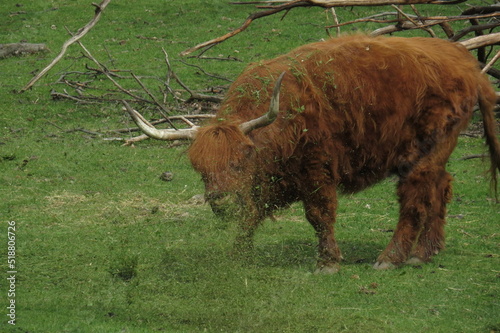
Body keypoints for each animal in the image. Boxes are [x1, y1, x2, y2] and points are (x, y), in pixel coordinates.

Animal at [125, 34, 500, 272]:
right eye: (199, 168)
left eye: (240, 159)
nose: (222, 202)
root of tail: (466, 65)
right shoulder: (270, 183)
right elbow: (251, 216)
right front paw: (237, 256)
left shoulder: (317, 170)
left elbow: (319, 215)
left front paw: (328, 262)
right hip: (438, 153)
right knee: (441, 188)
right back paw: (425, 253)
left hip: (420, 156)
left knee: (414, 200)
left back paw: (390, 258)